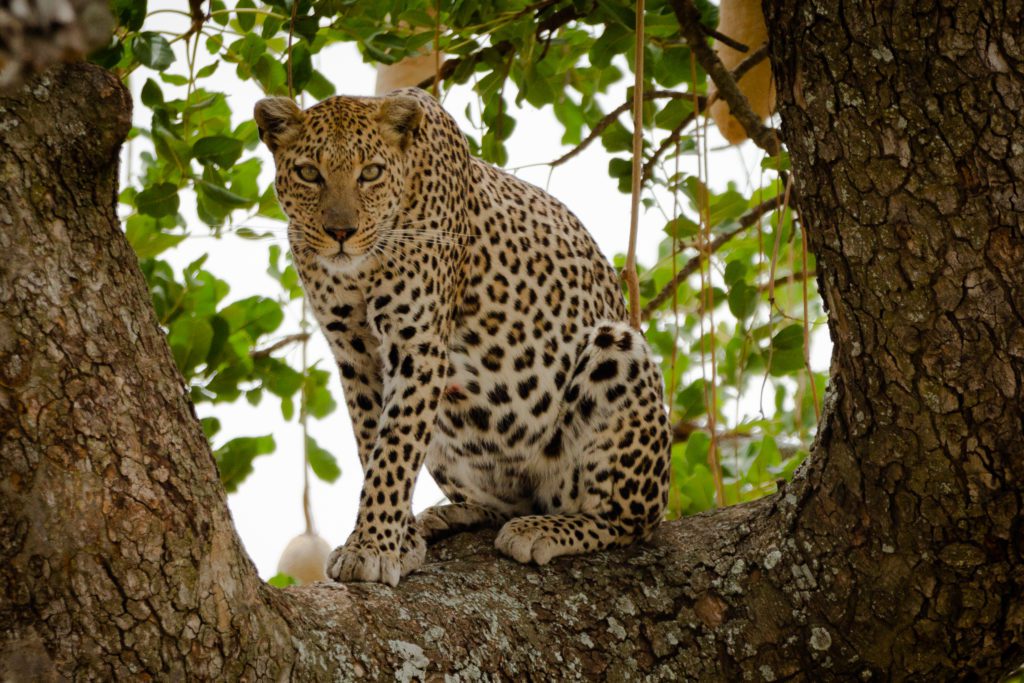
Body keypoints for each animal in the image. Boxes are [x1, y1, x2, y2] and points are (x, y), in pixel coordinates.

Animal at [256, 87, 671, 589]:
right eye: (308, 173)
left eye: (370, 173)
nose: (340, 232)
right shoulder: (355, 352)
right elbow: (373, 441)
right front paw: (399, 540)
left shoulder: (416, 343)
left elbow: (395, 447)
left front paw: (372, 546)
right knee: (505, 502)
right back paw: (451, 516)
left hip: (618, 353)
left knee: (630, 520)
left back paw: (545, 529)